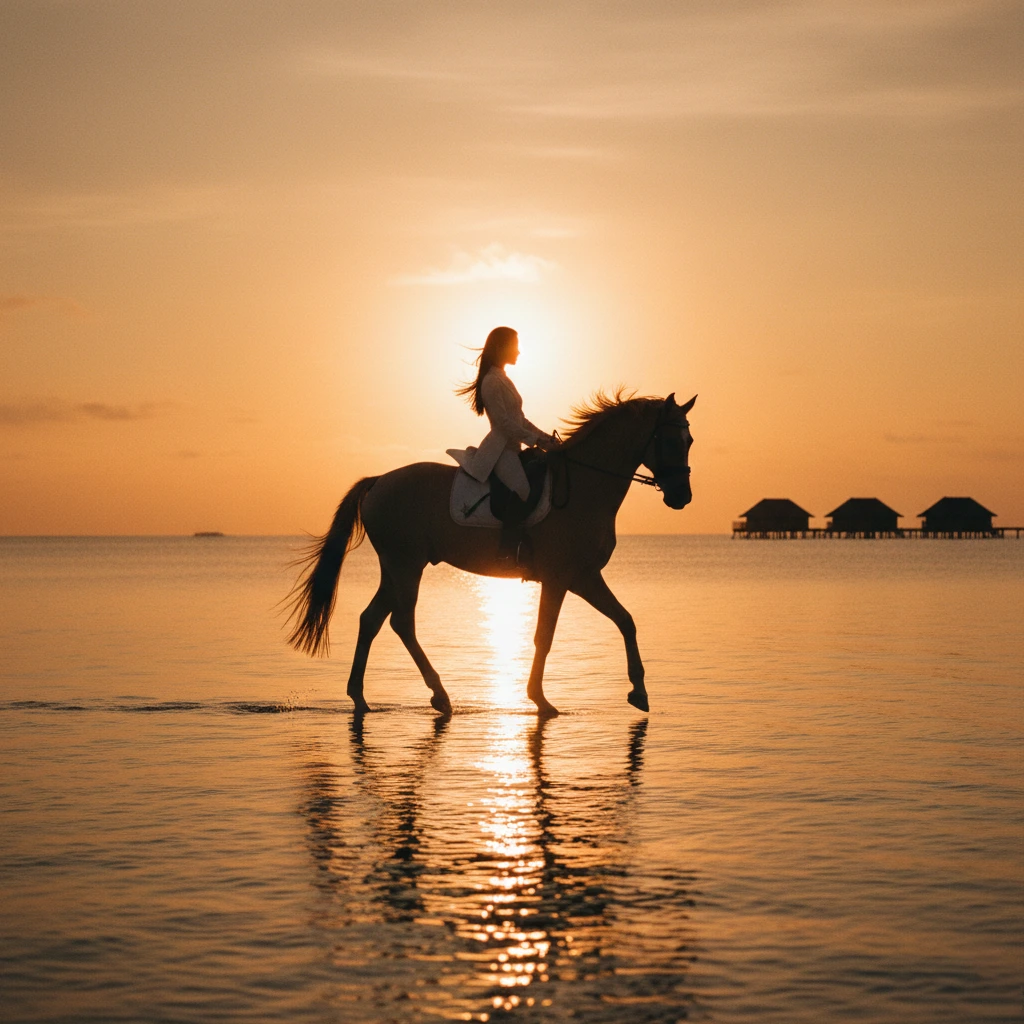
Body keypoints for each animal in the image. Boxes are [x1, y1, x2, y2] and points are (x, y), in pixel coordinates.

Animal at [286, 390, 696, 717]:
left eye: (689, 440)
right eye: (670, 441)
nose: (682, 497)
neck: (585, 487)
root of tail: (379, 481)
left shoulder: (584, 577)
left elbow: (626, 620)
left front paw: (639, 692)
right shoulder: (561, 578)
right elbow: (545, 636)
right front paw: (540, 699)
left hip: (397, 567)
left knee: (371, 619)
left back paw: (361, 697)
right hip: (405, 565)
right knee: (401, 622)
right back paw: (439, 695)